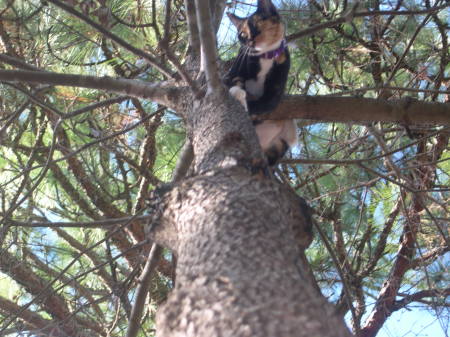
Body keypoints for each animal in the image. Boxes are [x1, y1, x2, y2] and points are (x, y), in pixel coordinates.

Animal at [224, 0, 296, 165]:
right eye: (242, 34)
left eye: (256, 25)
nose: (249, 40)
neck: (265, 56)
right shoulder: (232, 73)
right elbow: (233, 83)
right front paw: (237, 92)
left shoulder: (273, 95)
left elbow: (259, 104)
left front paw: (243, 102)